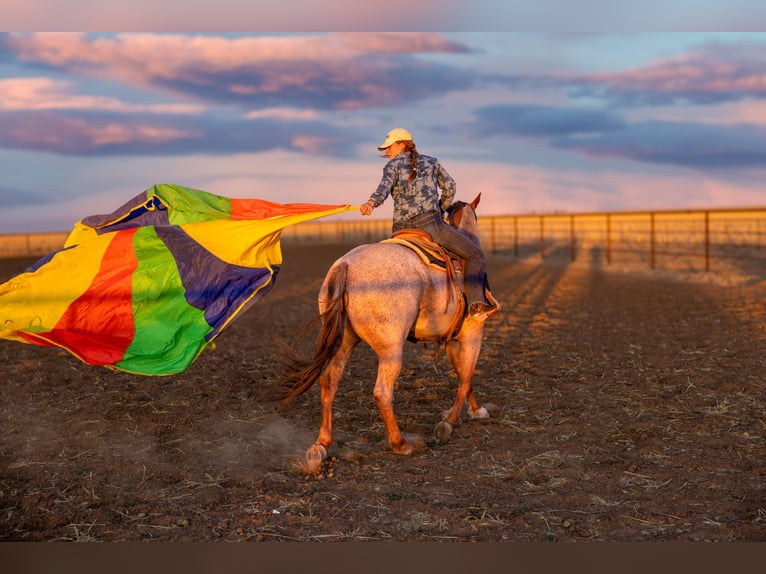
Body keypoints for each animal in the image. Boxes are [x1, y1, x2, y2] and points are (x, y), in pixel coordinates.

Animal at [282, 194, 499, 473]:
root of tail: (346, 265)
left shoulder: (452, 340)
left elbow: (463, 374)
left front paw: (472, 410)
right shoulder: (474, 333)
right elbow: (467, 376)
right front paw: (451, 422)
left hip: (345, 340)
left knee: (329, 380)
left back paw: (322, 445)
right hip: (391, 349)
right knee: (382, 392)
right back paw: (401, 444)